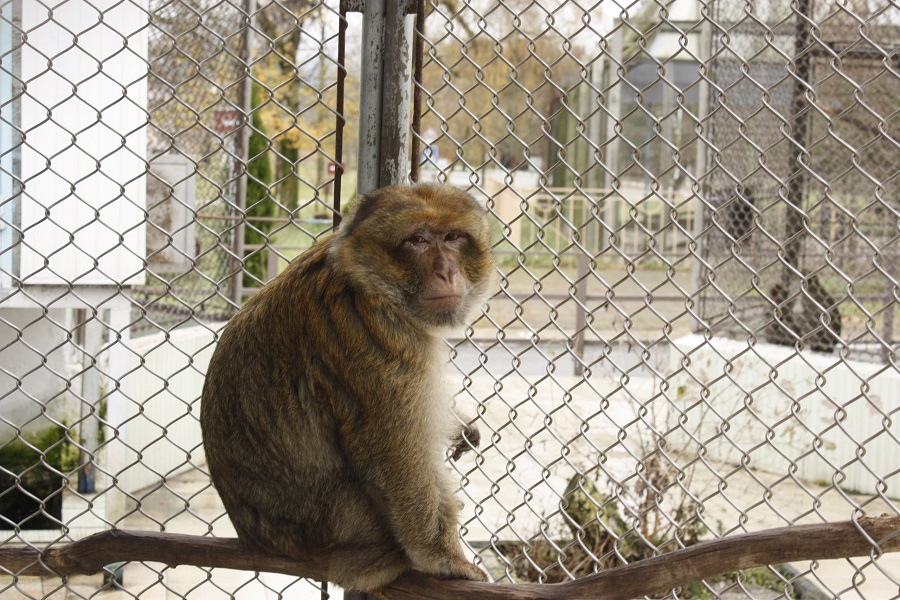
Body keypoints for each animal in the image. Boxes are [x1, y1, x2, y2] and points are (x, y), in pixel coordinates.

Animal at [199, 184, 492, 596]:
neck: (364, 280)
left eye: (453, 237)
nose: (446, 271)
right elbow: (397, 458)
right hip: (328, 526)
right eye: (417, 240)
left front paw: (462, 425)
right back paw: (374, 566)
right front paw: (445, 560)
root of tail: (258, 540)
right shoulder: (382, 334)